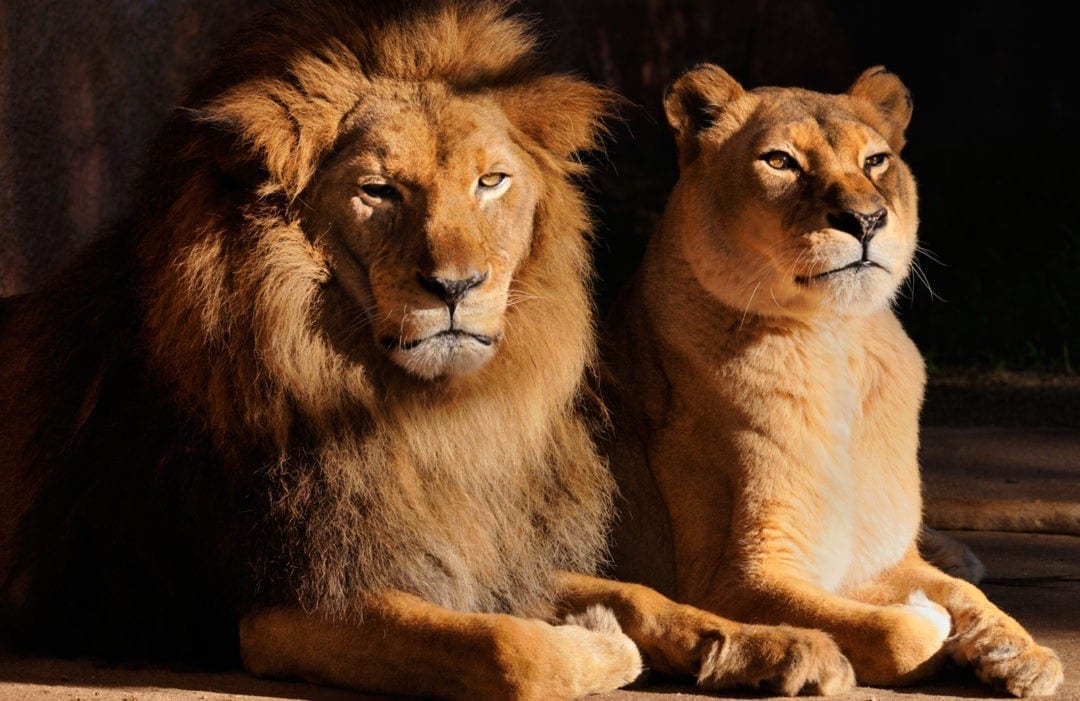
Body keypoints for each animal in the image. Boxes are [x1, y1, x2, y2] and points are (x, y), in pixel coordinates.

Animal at [0, 4, 858, 698]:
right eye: (378, 191)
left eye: (491, 182)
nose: (455, 285)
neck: (435, 417)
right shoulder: (288, 599)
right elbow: (508, 649)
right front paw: (600, 644)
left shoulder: (483, 538)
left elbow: (643, 594)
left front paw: (773, 641)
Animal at [602, 63, 1064, 697]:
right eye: (780, 161)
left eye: (875, 161)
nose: (866, 219)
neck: (836, 340)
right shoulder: (730, 582)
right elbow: (899, 632)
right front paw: (929, 622)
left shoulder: (882, 557)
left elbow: (969, 597)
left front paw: (1023, 653)